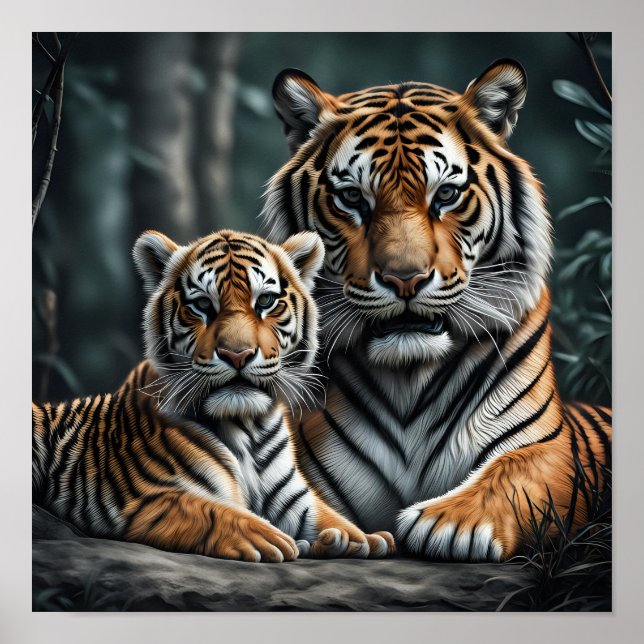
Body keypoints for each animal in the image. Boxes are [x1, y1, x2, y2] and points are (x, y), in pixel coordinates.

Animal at [32, 229, 395, 562]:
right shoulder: (139, 497)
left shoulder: (296, 499)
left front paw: (361, 537)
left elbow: (331, 515)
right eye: (203, 305)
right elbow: (206, 509)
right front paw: (267, 537)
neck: (247, 428)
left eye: (265, 301)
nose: (237, 355)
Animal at [259, 59, 612, 561]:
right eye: (352, 198)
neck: (409, 375)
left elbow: (512, 471)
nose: (404, 279)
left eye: (445, 195)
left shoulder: (553, 448)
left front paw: (449, 523)